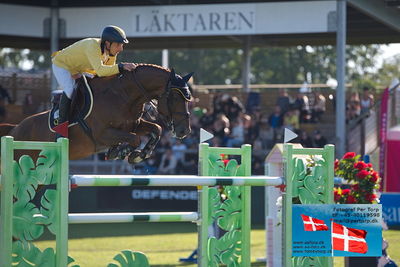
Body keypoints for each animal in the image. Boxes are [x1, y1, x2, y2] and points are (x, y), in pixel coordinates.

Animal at [0, 64, 192, 164]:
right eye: (175, 97)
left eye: (188, 98)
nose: (185, 131)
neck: (123, 96)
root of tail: (14, 129)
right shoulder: (102, 134)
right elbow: (135, 139)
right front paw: (120, 152)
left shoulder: (133, 125)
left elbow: (156, 129)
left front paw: (138, 155)